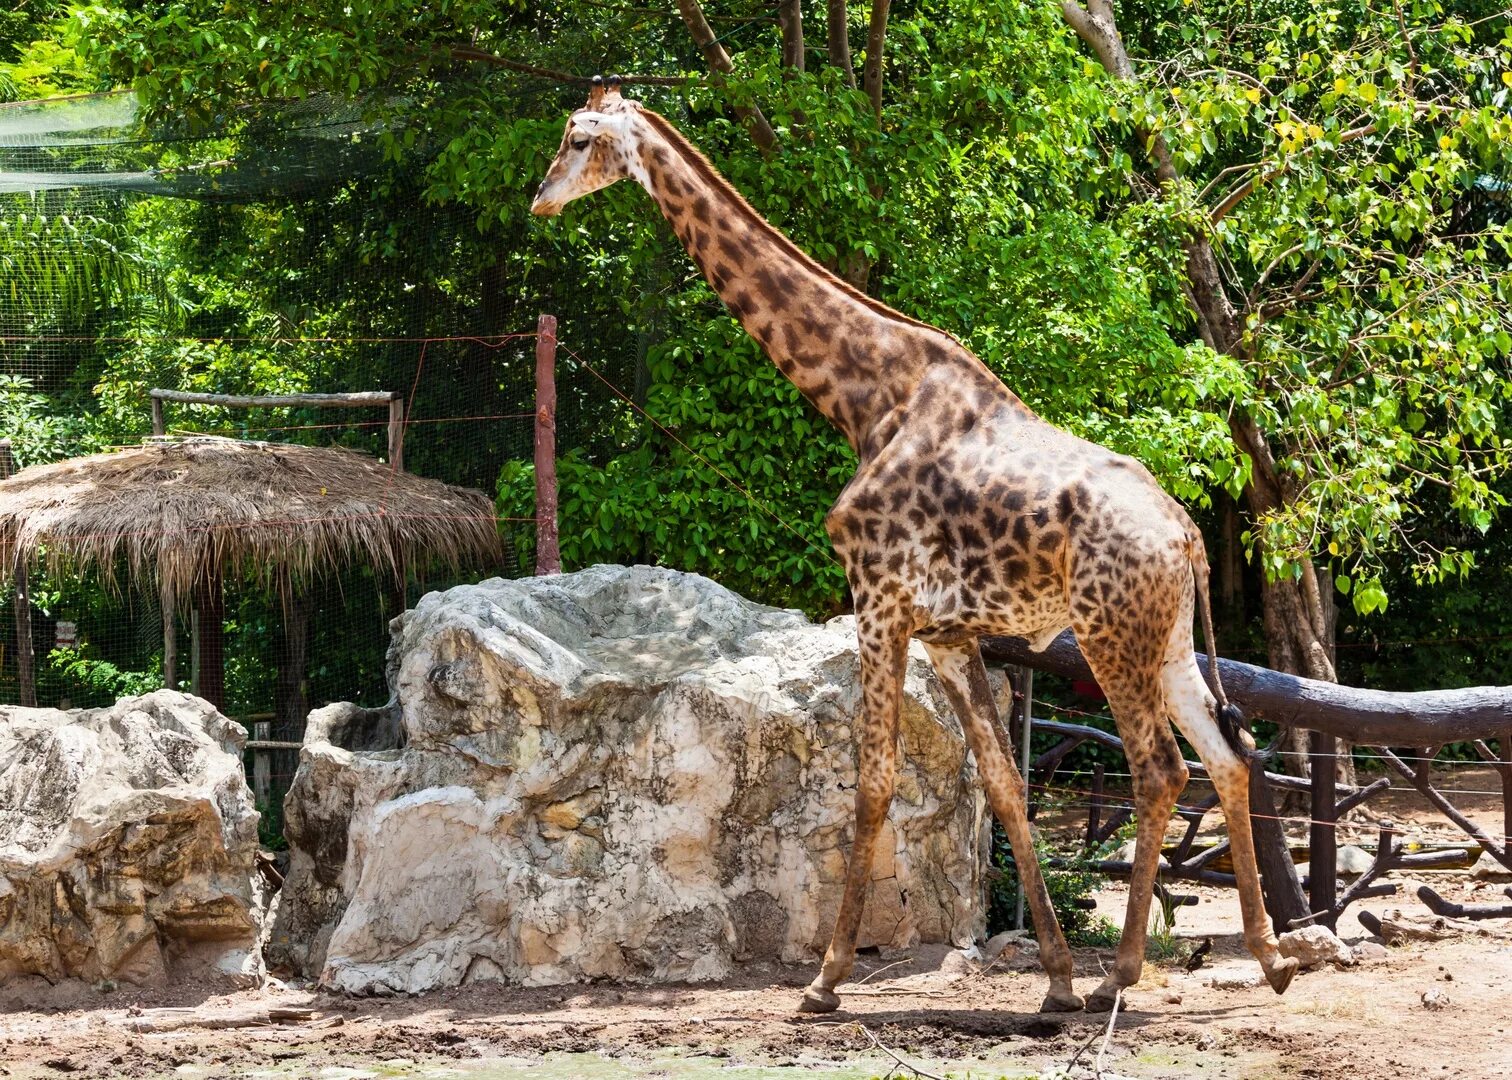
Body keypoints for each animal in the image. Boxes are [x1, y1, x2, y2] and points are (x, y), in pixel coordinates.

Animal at [535, 75, 1300, 1010]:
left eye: (577, 137)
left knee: (1160, 769)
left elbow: (873, 782)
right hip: (1168, 638)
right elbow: (1003, 788)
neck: (862, 396)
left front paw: (825, 979)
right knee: (1229, 755)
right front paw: (1053, 979)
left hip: (1111, 635)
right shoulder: (948, 634)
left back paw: (1122, 974)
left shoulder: (879, 601)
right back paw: (1269, 958)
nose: (539, 199)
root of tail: (1187, 533)